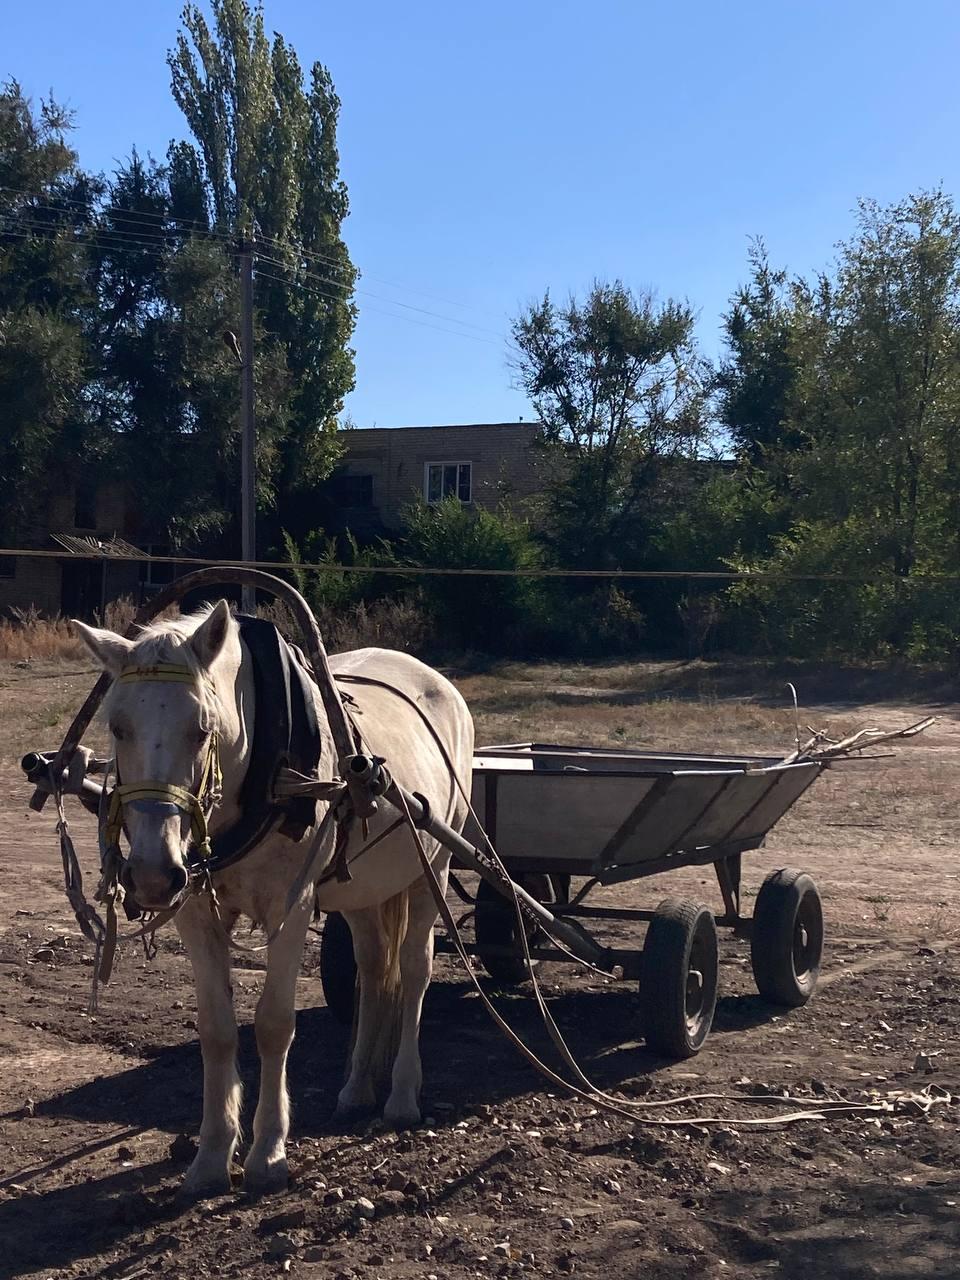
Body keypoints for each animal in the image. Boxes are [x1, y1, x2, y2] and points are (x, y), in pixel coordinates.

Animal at [75, 601, 478, 1198]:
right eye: (117, 726)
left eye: (201, 729)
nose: (152, 873)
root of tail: (439, 683)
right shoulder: (196, 913)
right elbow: (217, 1030)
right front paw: (211, 1157)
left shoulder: (290, 908)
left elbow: (273, 1024)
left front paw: (268, 1153)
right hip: (362, 892)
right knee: (373, 971)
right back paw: (357, 1088)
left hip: (433, 869)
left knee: (413, 972)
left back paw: (402, 1096)